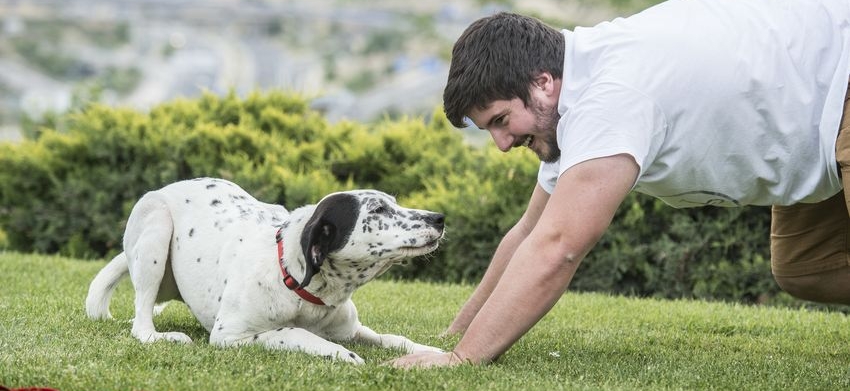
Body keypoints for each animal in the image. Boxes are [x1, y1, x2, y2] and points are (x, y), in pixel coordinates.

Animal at [85, 178, 444, 364]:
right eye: (378, 209)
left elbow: (392, 337)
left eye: (393, 201)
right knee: (140, 322)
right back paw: (161, 336)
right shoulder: (230, 335)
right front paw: (340, 354)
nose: (438, 217)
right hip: (156, 230)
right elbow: (294, 333)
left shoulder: (351, 329)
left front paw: (426, 351)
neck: (301, 285)